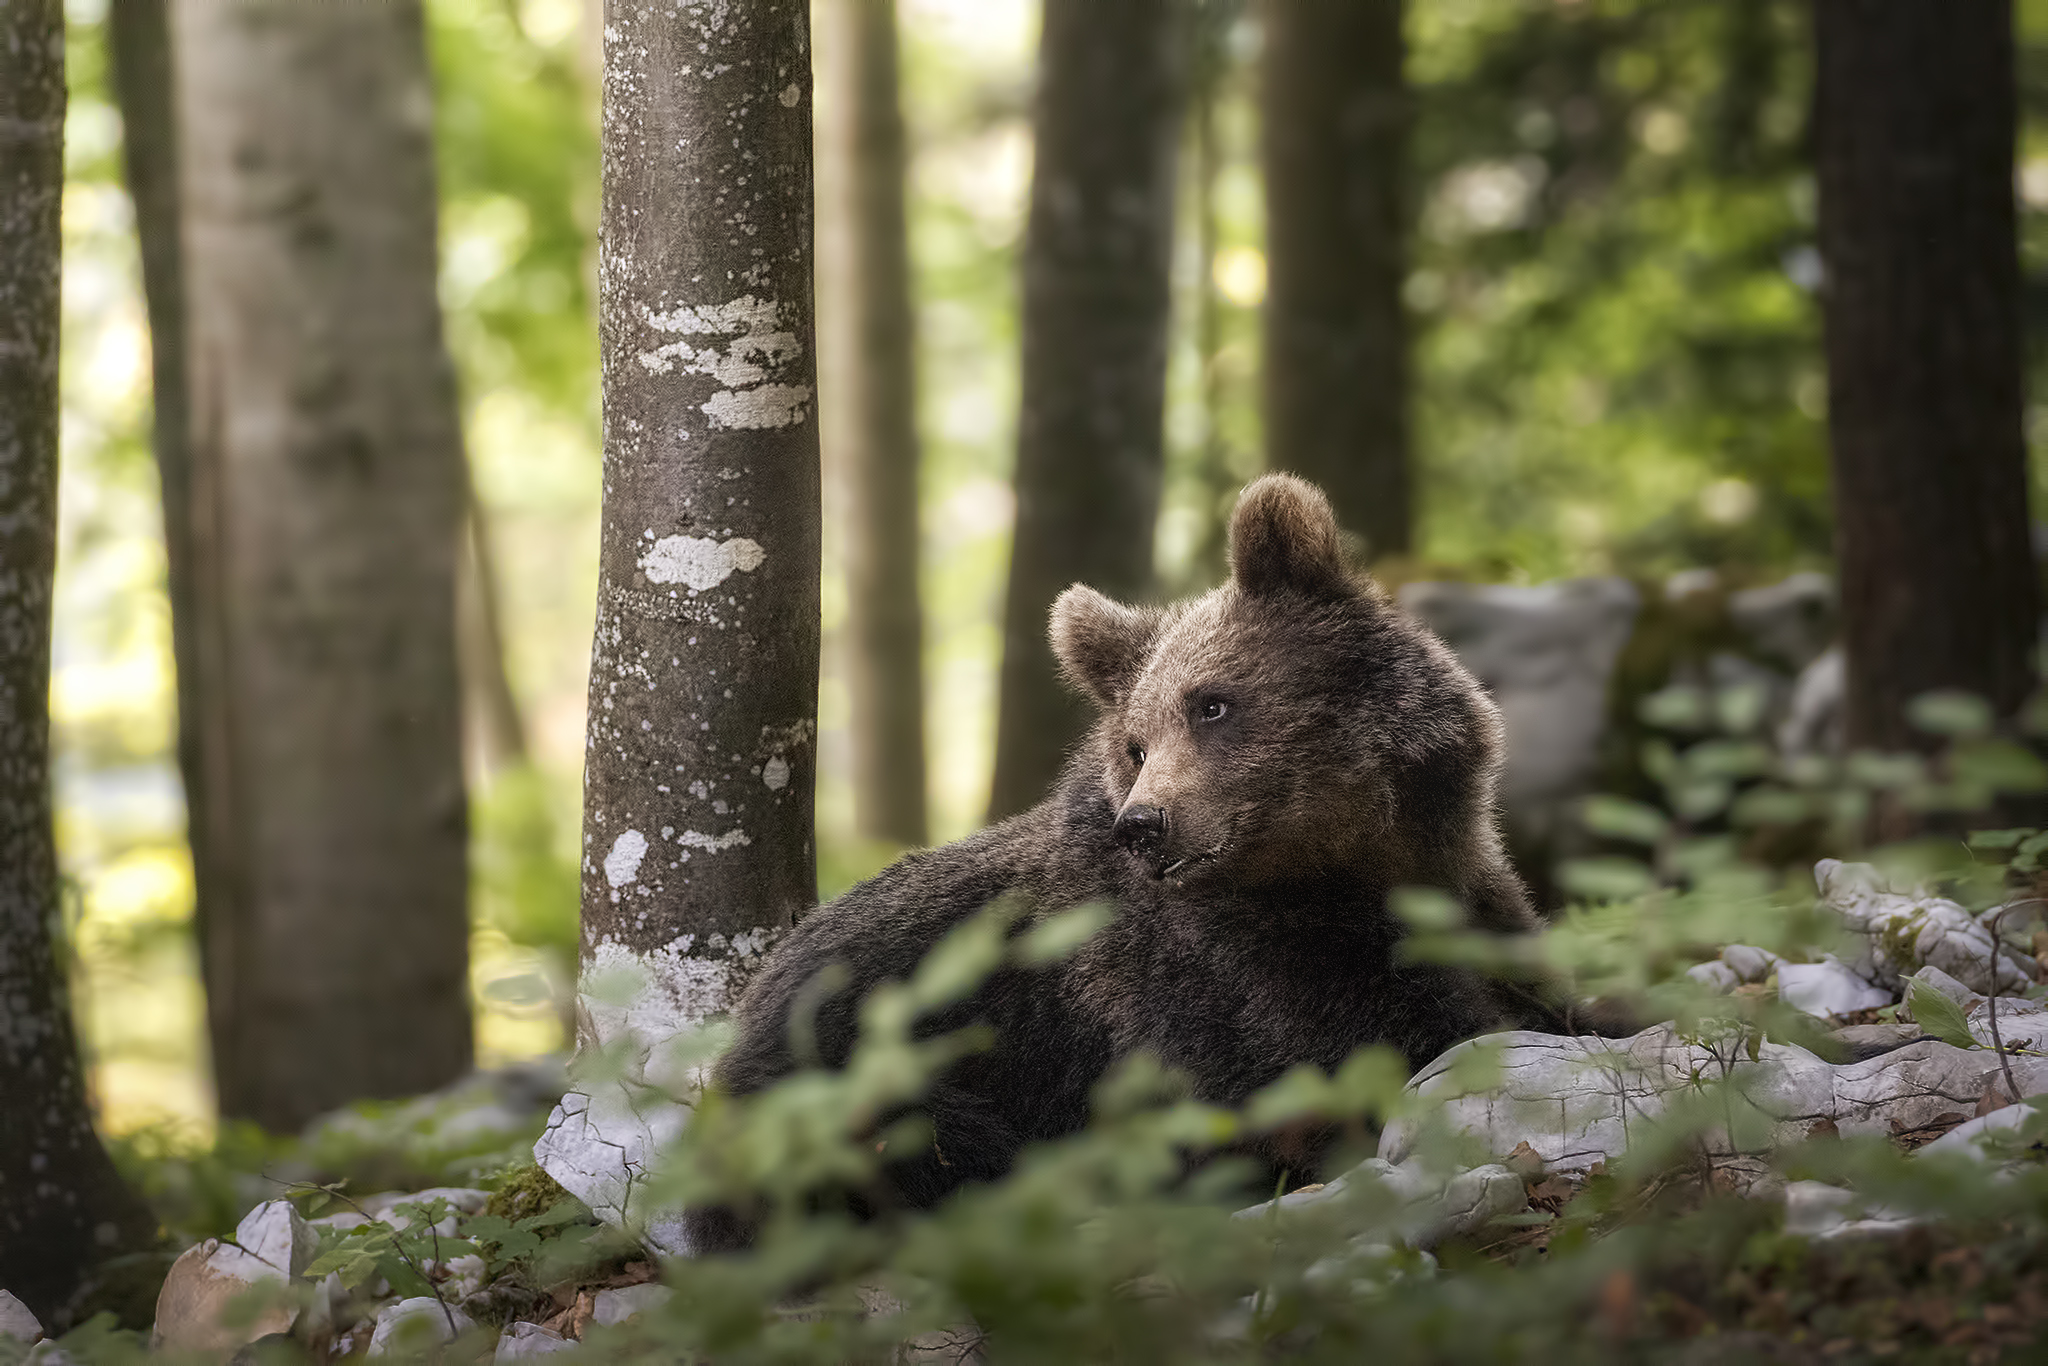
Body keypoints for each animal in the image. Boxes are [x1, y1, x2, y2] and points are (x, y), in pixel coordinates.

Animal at [685, 474, 1577, 1253]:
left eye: (1212, 703)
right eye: (1136, 744)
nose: (1143, 824)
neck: (1349, 867)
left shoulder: (1464, 894)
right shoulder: (1225, 984)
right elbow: (1387, 1046)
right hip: (840, 1078)